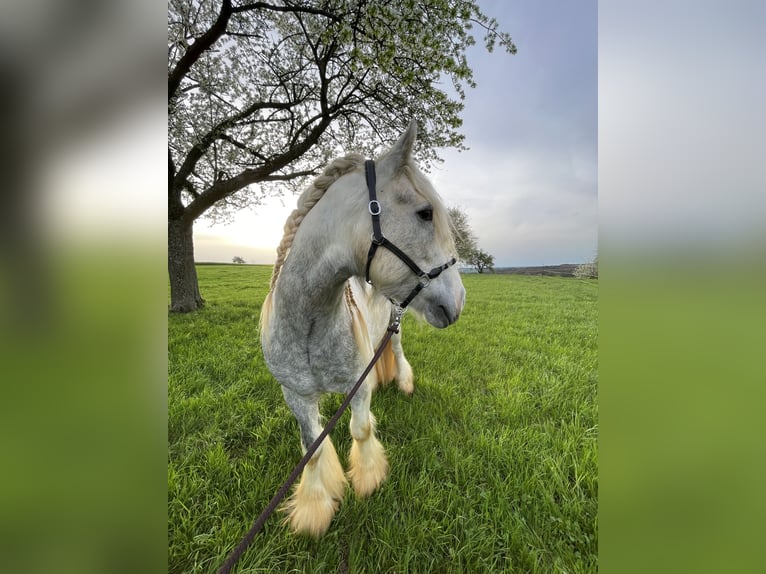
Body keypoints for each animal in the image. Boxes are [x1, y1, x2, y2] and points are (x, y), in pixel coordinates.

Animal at [260, 122, 468, 540]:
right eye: (425, 213)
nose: (459, 299)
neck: (308, 326)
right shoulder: (295, 395)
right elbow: (312, 448)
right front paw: (314, 508)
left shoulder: (357, 387)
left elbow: (359, 429)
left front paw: (369, 478)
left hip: (396, 326)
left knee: (398, 353)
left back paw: (403, 382)